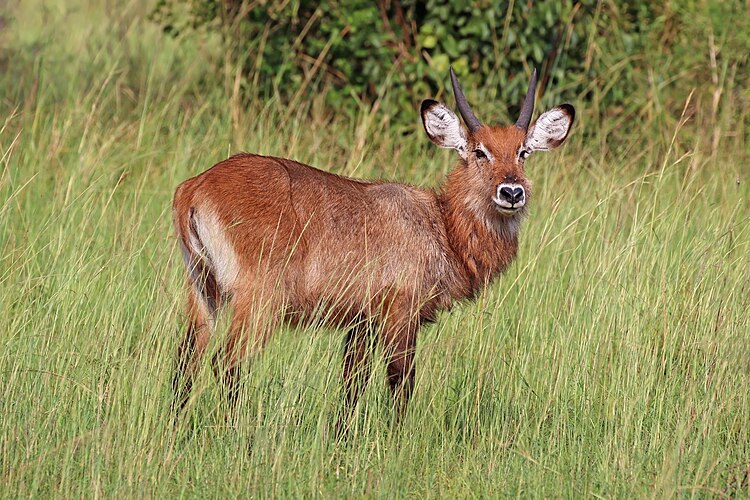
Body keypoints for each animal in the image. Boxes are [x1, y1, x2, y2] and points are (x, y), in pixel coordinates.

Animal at [173, 67, 580, 426]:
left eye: (523, 151)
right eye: (480, 151)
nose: (511, 192)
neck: (442, 227)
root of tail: (196, 185)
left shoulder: (361, 323)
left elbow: (352, 385)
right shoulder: (401, 313)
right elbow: (401, 381)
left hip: (202, 289)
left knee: (186, 362)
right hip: (258, 300)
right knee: (227, 363)